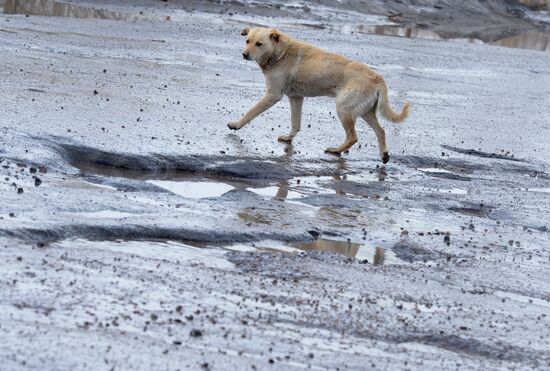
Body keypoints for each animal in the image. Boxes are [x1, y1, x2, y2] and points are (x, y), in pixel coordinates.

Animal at [226, 26, 412, 163]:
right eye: (247, 41)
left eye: (259, 44)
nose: (244, 54)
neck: (280, 52)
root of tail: (378, 78)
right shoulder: (296, 98)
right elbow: (295, 123)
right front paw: (289, 138)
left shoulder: (272, 95)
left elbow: (250, 112)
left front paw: (236, 124)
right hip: (366, 112)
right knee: (381, 131)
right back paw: (384, 155)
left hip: (344, 109)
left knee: (353, 137)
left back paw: (336, 150)